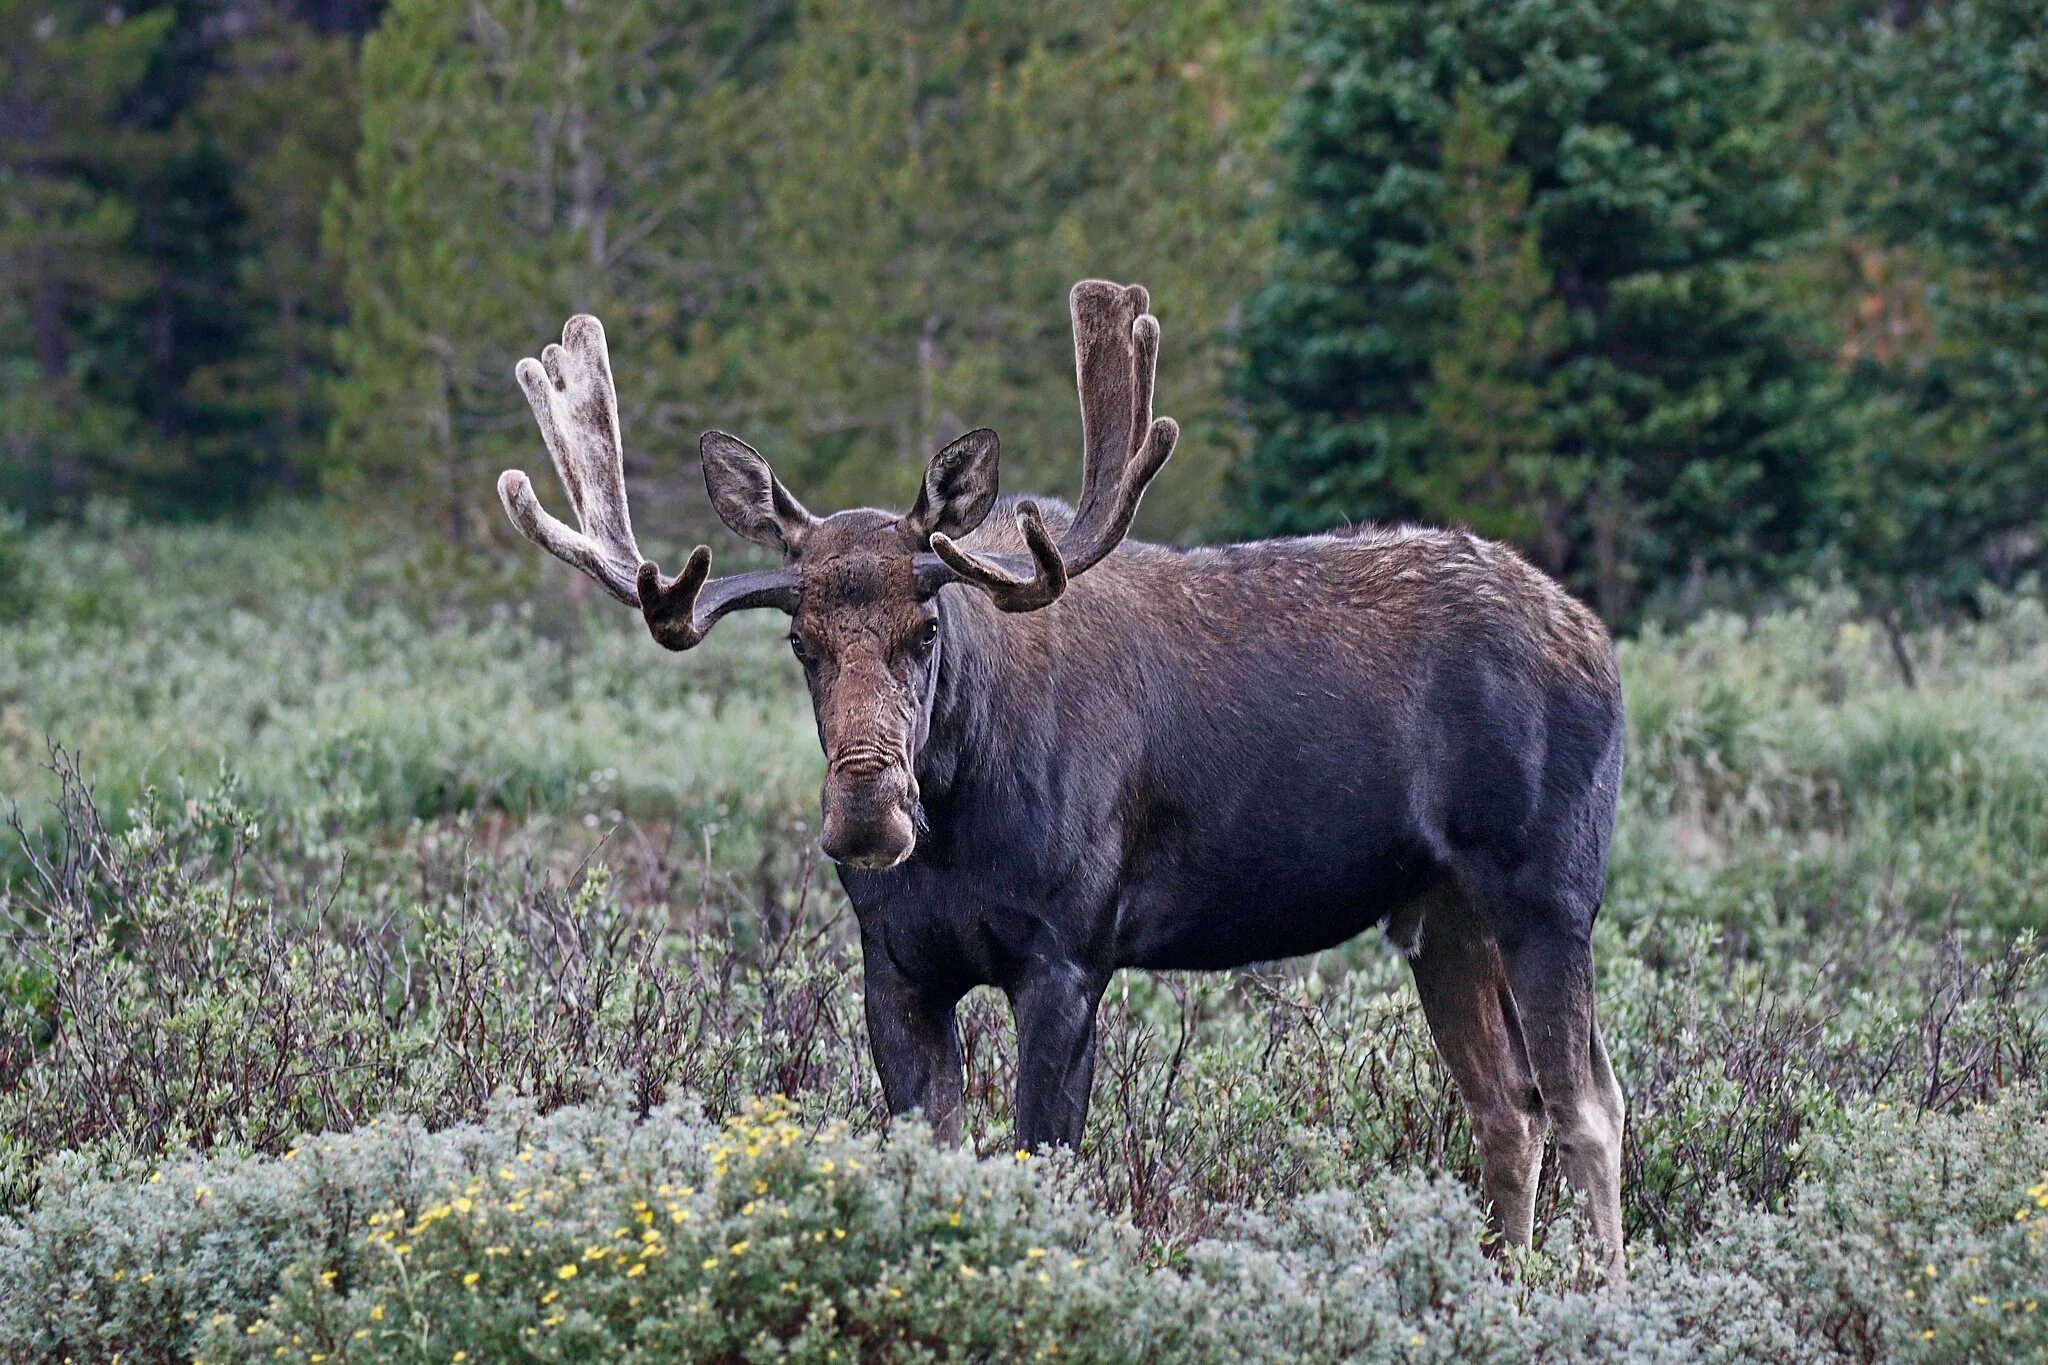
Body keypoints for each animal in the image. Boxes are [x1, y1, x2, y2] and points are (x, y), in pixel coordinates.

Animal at [495, 282, 1630, 1277]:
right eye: (800, 642)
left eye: (925, 628)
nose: (867, 813)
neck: (958, 821)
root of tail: (1598, 637)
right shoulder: (896, 969)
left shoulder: (1069, 955)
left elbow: (1045, 1163)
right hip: (1440, 914)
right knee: (1507, 1108)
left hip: (1544, 890)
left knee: (1587, 1107)